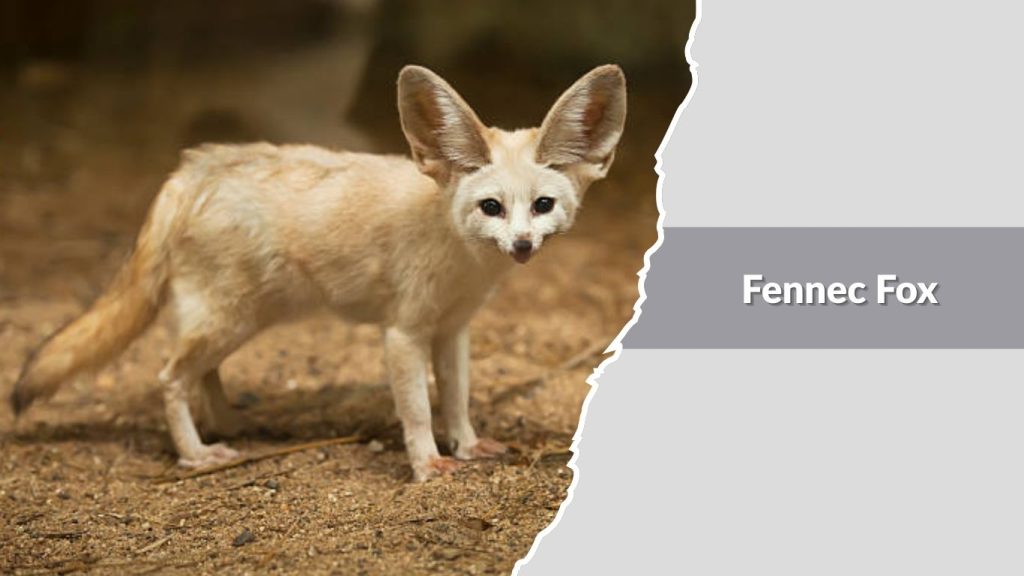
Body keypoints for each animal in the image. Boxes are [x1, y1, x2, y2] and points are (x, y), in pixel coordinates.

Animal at [11, 64, 627, 481]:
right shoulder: (403, 333)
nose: (522, 245)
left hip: (236, 321)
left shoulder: (453, 329)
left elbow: (456, 398)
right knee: (169, 377)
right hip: (228, 320)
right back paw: (196, 453)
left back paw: (228, 423)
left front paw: (468, 445)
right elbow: (417, 409)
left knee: (201, 374)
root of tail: (189, 171)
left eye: (542, 206)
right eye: (491, 207)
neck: (463, 261)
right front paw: (428, 464)